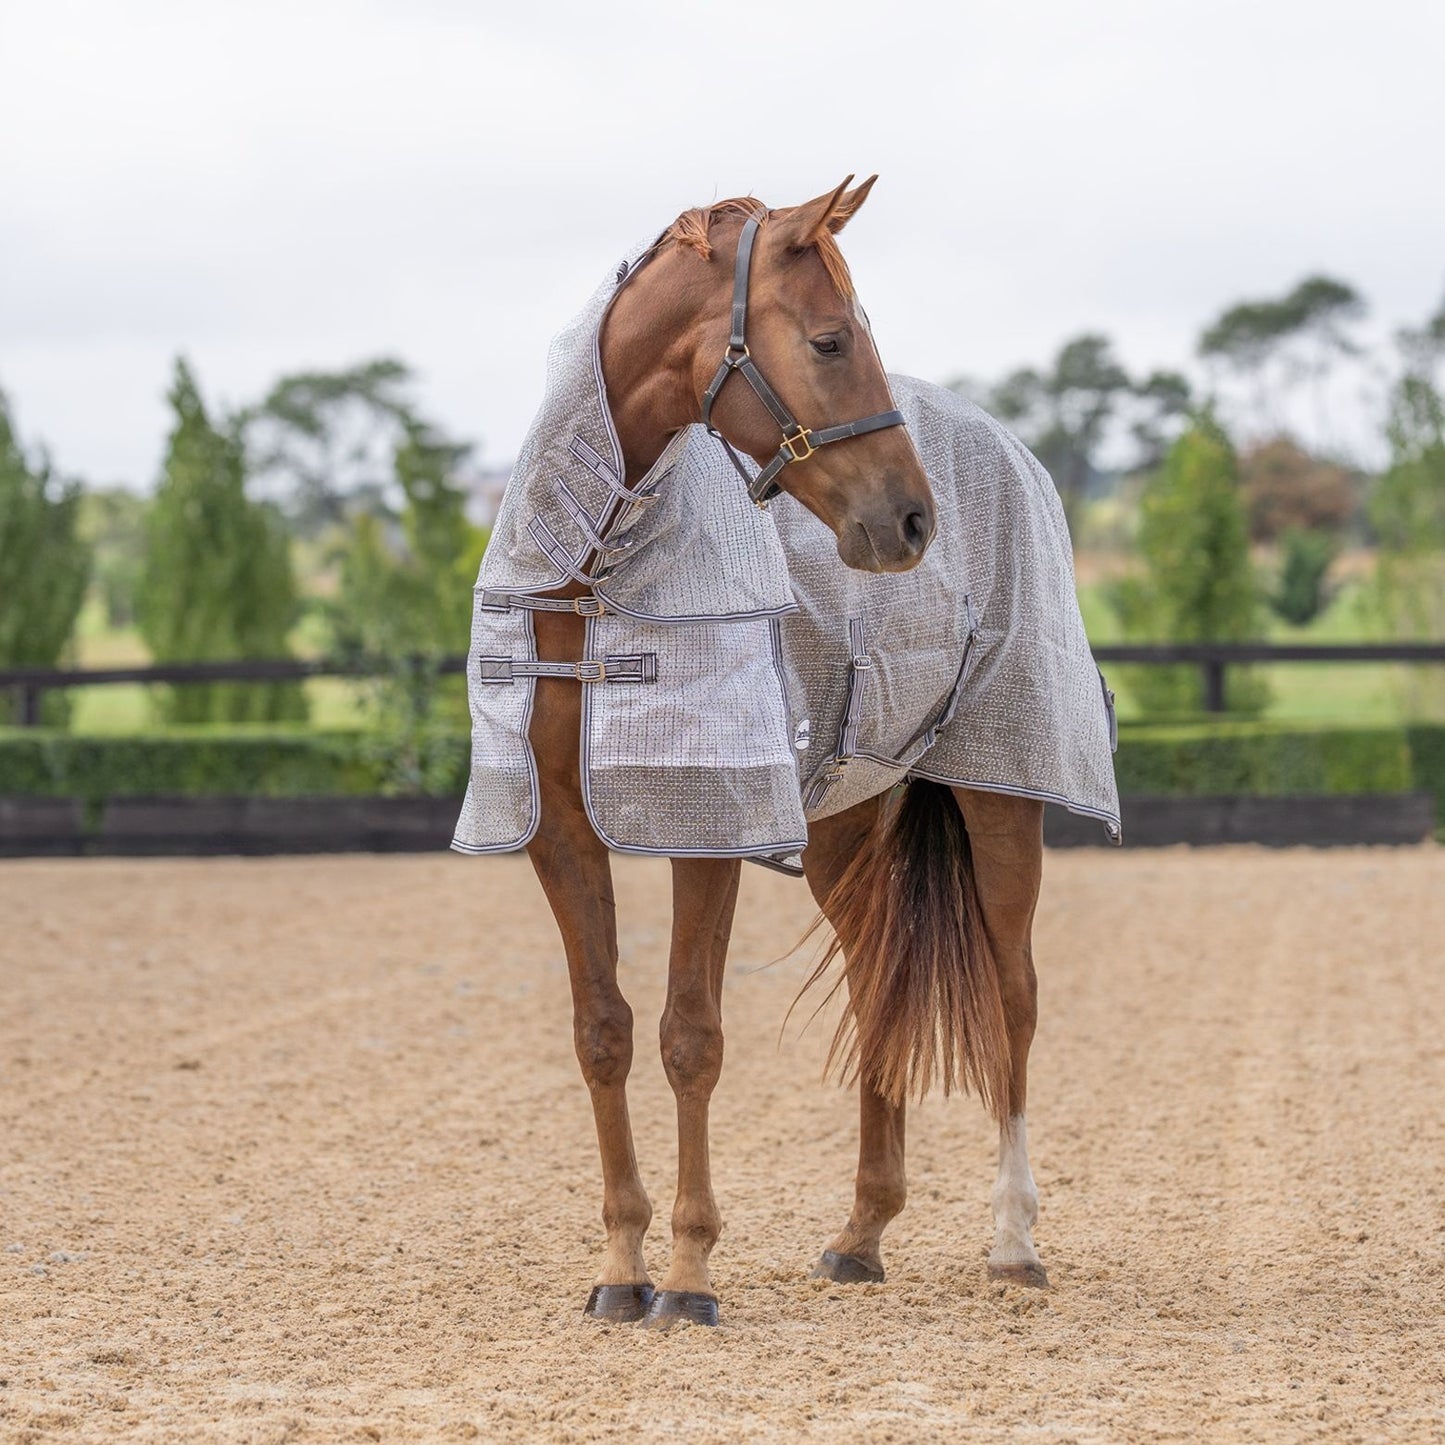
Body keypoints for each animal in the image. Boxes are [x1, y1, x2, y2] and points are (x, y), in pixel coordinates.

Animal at [513, 178, 1052, 1327]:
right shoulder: (561, 833)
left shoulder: (709, 830)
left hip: (1003, 794)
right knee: (875, 979)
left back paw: (1012, 1241)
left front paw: (686, 1276)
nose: (910, 520)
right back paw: (859, 1234)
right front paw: (620, 1265)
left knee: (1014, 995)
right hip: (846, 826)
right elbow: (603, 1032)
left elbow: (689, 1037)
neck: (599, 593)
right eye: (830, 338)